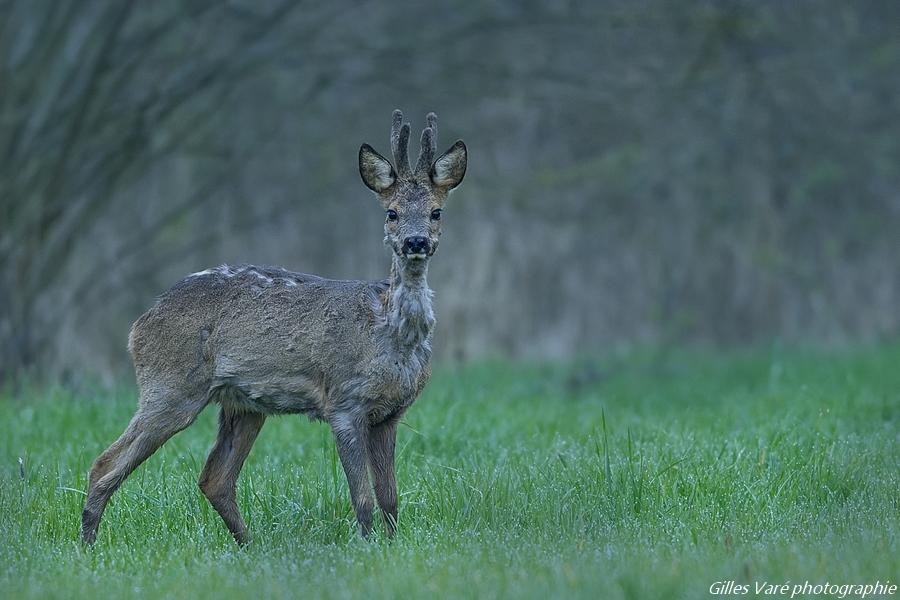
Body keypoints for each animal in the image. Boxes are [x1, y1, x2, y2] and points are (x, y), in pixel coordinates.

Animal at [81, 110, 468, 548]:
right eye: (393, 212)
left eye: (436, 212)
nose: (415, 241)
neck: (388, 333)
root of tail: (139, 324)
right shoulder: (344, 402)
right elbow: (363, 498)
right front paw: (367, 546)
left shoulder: (390, 413)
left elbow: (390, 499)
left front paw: (390, 546)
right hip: (170, 386)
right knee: (104, 463)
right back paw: (88, 543)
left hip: (242, 405)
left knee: (214, 478)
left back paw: (248, 545)